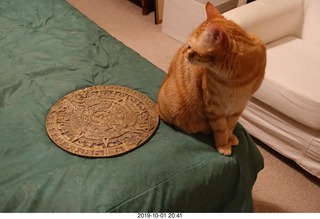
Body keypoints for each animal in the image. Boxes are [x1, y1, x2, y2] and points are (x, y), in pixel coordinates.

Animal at [157, 2, 264, 156]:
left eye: (190, 47)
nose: (185, 54)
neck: (236, 78)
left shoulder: (239, 106)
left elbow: (230, 126)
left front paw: (230, 138)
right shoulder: (214, 107)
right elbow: (222, 129)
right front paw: (223, 144)